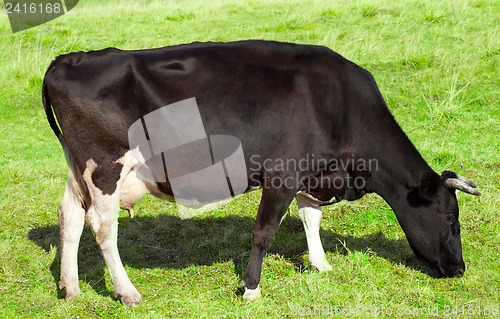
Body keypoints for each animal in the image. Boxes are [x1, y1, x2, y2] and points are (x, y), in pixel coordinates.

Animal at [43, 40, 480, 308]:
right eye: (450, 218)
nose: (460, 269)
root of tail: (71, 58)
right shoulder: (282, 173)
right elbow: (265, 231)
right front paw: (251, 288)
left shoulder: (311, 174)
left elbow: (310, 217)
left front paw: (320, 264)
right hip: (105, 167)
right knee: (103, 226)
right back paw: (127, 292)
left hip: (78, 170)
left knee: (70, 216)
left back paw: (72, 288)